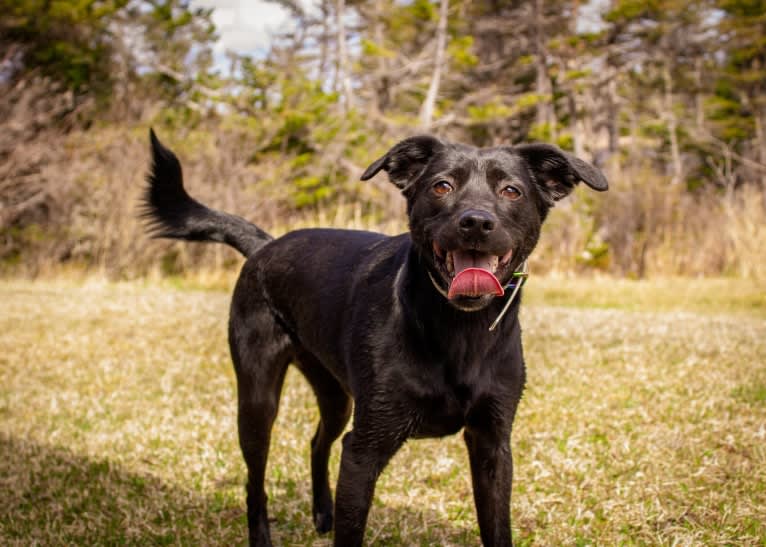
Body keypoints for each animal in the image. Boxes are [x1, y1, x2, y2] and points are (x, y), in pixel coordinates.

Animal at [144, 131, 608, 544]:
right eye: (442, 186)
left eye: (511, 191)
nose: (476, 222)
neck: (459, 330)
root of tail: (265, 245)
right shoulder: (364, 449)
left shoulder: (492, 444)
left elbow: (498, 529)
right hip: (259, 401)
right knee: (254, 483)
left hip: (336, 396)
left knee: (318, 441)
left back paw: (322, 512)